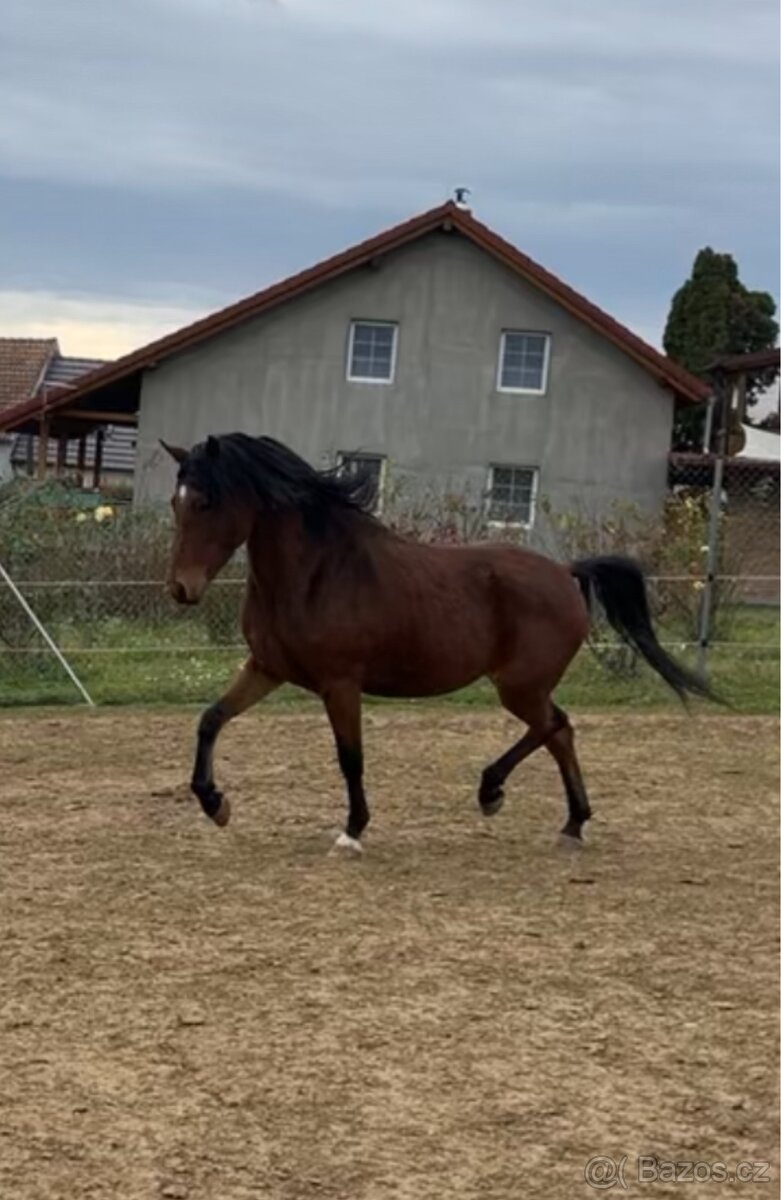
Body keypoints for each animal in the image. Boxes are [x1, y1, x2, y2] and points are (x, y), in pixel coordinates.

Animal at [161, 432, 715, 850]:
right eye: (175, 501)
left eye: (207, 501)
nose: (181, 589)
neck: (314, 573)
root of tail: (564, 572)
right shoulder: (267, 668)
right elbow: (210, 719)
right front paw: (215, 804)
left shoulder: (340, 683)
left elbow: (350, 756)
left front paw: (352, 831)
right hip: (525, 688)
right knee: (559, 733)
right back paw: (571, 823)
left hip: (520, 686)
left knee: (555, 726)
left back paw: (493, 792)